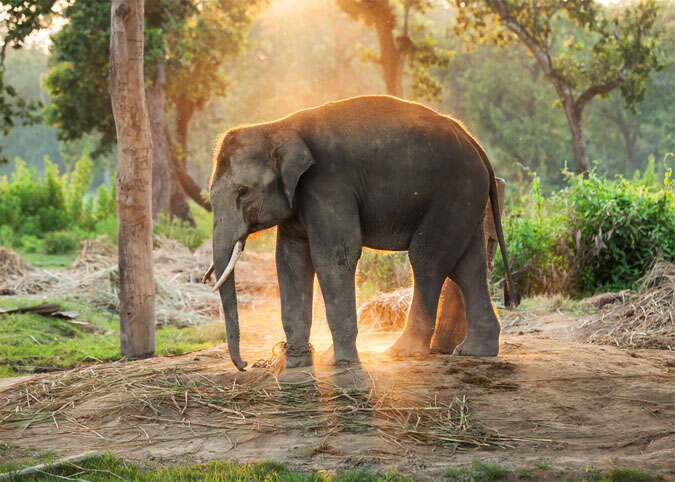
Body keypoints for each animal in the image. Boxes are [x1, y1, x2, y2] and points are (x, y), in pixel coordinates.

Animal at [206, 95, 517, 371]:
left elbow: (335, 257)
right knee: (468, 266)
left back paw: (401, 352)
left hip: (453, 191)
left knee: (427, 260)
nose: (246, 365)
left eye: (242, 192)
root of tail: (476, 145)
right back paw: (474, 351)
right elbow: (290, 261)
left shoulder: (328, 184)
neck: (278, 126)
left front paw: (339, 362)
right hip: (467, 199)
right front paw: (295, 364)